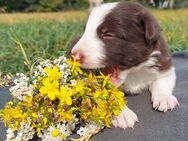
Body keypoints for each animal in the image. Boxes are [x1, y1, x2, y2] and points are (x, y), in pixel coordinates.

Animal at [71, 1, 179, 129]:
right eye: (85, 32)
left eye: (108, 35)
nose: (75, 55)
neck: (133, 71)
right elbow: (110, 94)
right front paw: (123, 114)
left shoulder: (164, 64)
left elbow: (161, 80)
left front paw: (165, 98)